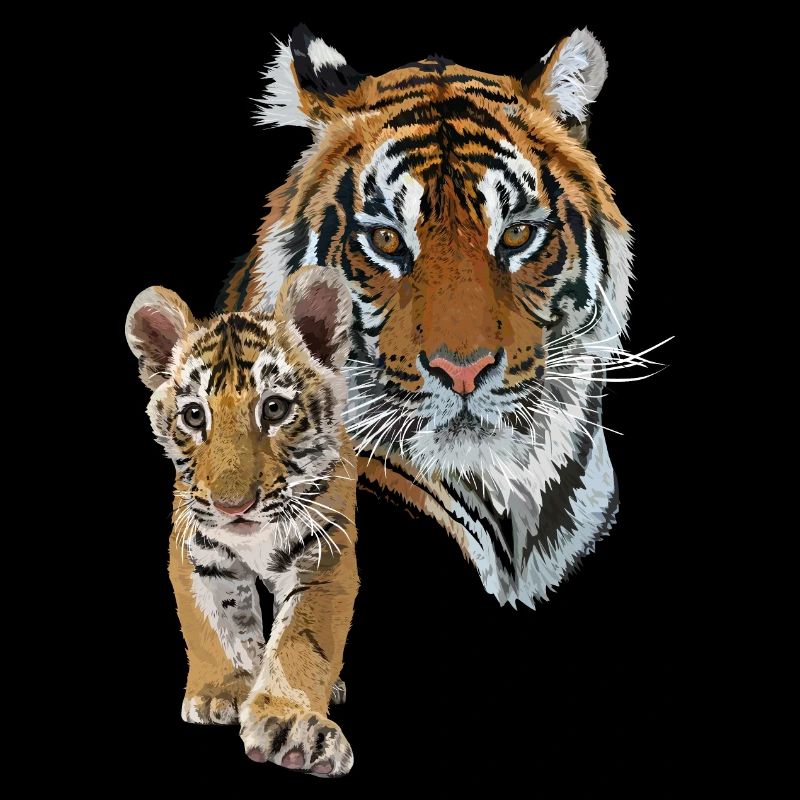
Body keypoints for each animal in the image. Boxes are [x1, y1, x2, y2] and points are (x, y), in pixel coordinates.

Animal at [126, 264, 358, 776]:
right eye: (195, 416)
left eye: (274, 408)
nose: (234, 506)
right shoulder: (197, 551)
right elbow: (217, 626)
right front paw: (222, 693)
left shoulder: (324, 556)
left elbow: (300, 641)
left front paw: (291, 725)